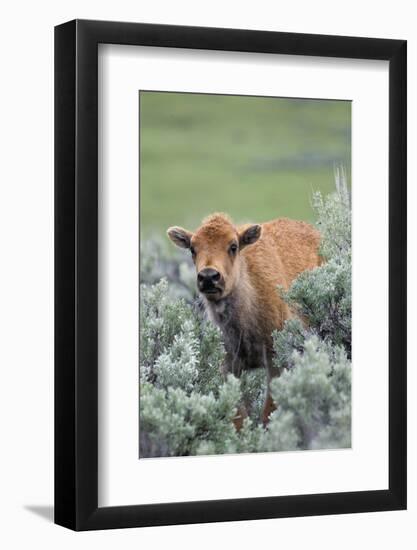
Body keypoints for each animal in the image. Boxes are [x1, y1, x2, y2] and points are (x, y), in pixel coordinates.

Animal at [167, 213, 320, 424]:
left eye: (233, 246)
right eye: (192, 248)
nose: (208, 277)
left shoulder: (276, 361)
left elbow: (268, 412)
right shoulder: (228, 366)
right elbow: (238, 416)